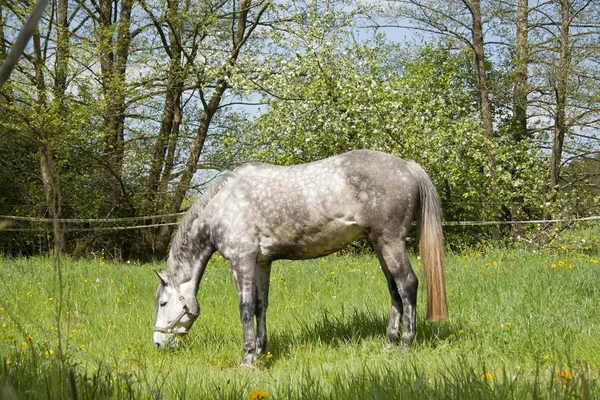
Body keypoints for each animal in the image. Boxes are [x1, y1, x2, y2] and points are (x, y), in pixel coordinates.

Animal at [152, 149, 448, 366]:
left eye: (164, 303)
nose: (157, 343)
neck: (223, 206)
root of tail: (407, 166)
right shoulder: (262, 262)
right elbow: (261, 306)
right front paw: (260, 352)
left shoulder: (241, 260)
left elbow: (246, 309)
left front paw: (247, 358)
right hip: (380, 245)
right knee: (394, 290)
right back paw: (388, 345)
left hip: (390, 242)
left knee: (407, 285)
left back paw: (405, 345)